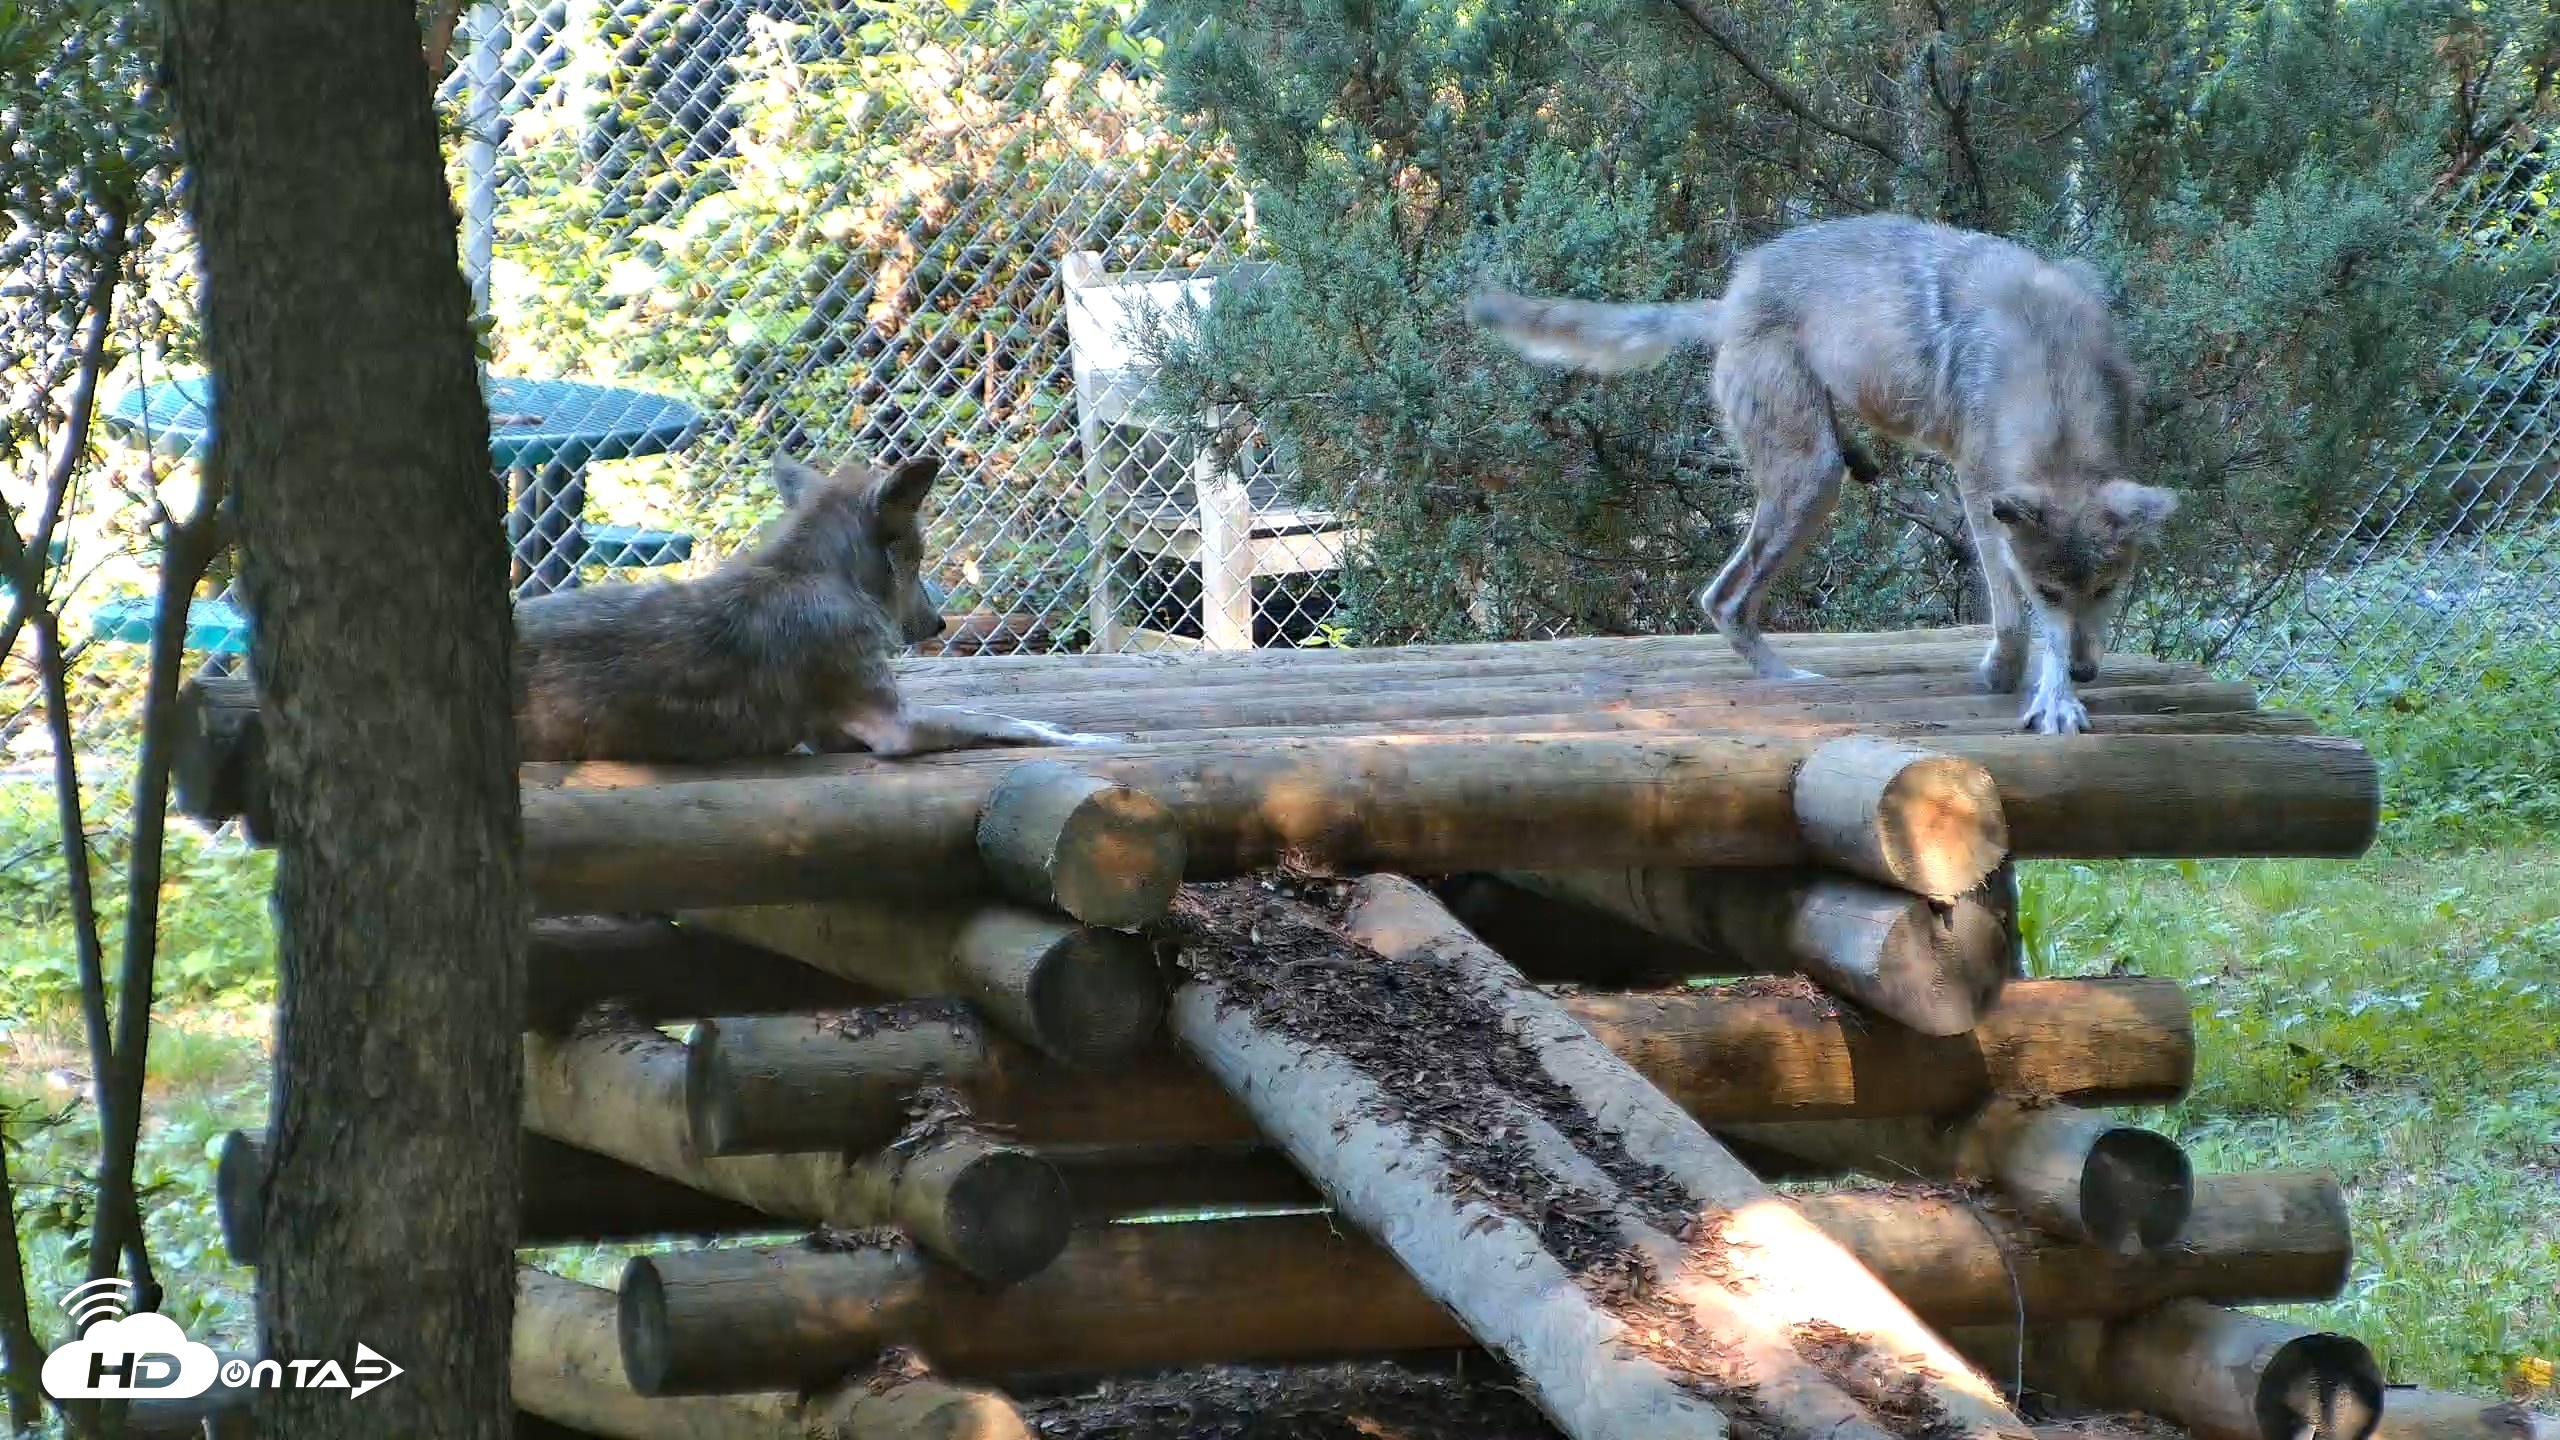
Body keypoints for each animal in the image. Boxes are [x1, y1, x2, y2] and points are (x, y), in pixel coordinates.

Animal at [513, 451, 1118, 762]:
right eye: (919, 557)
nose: (939, 622)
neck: (816, 575)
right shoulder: (893, 726)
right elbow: (1000, 720)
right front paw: (1086, 737)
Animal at [1468, 212, 2180, 734]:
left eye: (2109, 589)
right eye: (2050, 593)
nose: (2087, 674)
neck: (2050, 367)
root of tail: (1731, 297)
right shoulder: (1979, 490)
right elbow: (2016, 620)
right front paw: (2034, 688)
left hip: (1819, 473)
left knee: (1723, 597)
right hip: (1812, 480)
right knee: (1721, 598)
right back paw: (1788, 682)